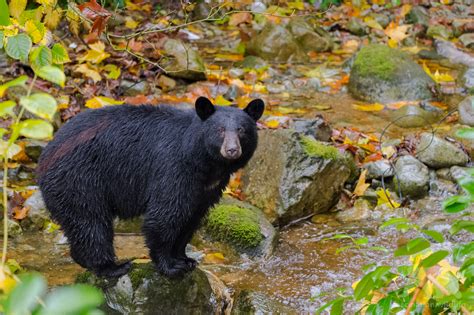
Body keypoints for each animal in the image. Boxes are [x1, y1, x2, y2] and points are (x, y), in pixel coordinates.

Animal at [37, 97, 264, 278]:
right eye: (220, 130)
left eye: (242, 130)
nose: (232, 150)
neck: (204, 163)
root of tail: (43, 159)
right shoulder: (174, 168)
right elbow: (166, 214)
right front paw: (170, 266)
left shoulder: (206, 189)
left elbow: (191, 218)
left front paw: (185, 259)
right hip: (79, 181)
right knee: (91, 223)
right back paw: (112, 267)